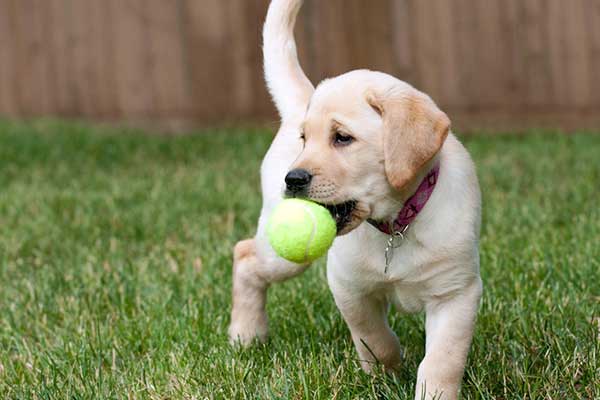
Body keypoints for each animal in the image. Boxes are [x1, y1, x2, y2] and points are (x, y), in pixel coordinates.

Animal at [230, 1, 482, 398]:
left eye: (342, 138)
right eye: (305, 139)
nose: (293, 179)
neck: (396, 224)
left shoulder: (456, 293)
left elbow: (443, 360)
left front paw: (432, 391)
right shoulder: (348, 286)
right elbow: (373, 337)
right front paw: (386, 371)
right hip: (283, 255)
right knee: (244, 256)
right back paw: (246, 334)